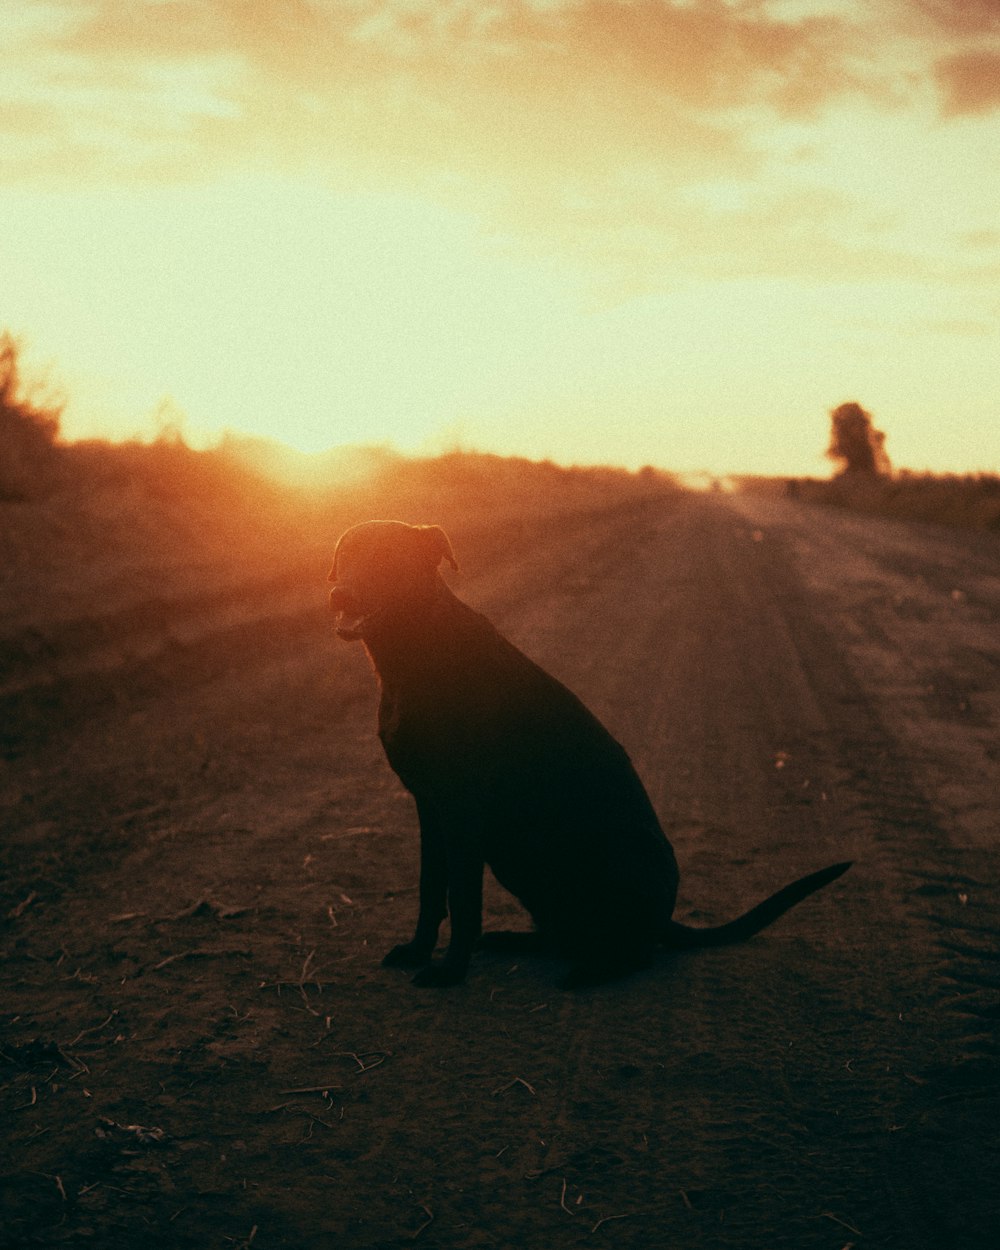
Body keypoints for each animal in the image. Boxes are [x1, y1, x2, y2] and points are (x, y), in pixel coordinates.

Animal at [330, 517, 850, 985]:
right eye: (345, 556)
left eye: (386, 559)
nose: (340, 594)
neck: (414, 646)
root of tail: (664, 916)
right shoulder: (430, 807)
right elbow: (430, 889)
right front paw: (419, 951)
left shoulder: (460, 810)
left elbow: (461, 899)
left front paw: (449, 971)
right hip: (527, 869)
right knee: (567, 933)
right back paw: (518, 941)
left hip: (611, 859)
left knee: (637, 953)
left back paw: (592, 971)